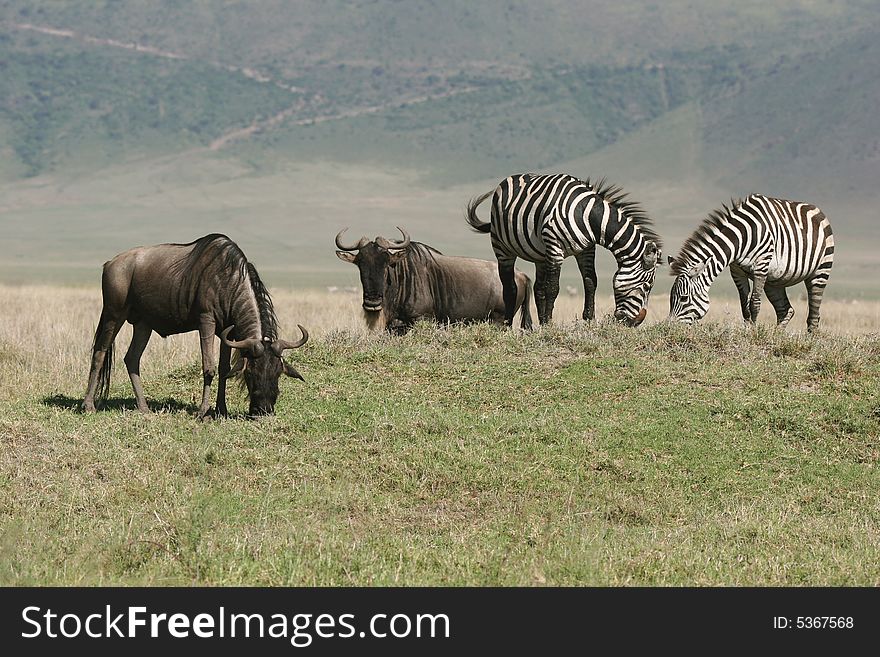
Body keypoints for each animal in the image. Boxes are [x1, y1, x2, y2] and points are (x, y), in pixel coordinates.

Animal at [468, 172, 660, 326]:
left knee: (538, 288)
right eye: (647, 286)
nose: (637, 322)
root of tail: (508, 179)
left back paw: (540, 323)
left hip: (540, 255)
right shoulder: (555, 247)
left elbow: (590, 282)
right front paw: (550, 323)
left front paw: (589, 320)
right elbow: (553, 288)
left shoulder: (586, 250)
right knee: (510, 288)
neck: (588, 215)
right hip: (502, 247)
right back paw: (507, 325)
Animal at [672, 192, 836, 330]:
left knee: (814, 314)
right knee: (785, 310)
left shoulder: (761, 267)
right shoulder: (737, 271)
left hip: (820, 271)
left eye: (684, 298)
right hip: (774, 281)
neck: (741, 238)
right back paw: (777, 336)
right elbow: (744, 306)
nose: (671, 328)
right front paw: (747, 330)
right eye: (671, 297)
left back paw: (811, 338)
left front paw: (753, 332)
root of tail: (817, 209)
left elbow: (754, 303)